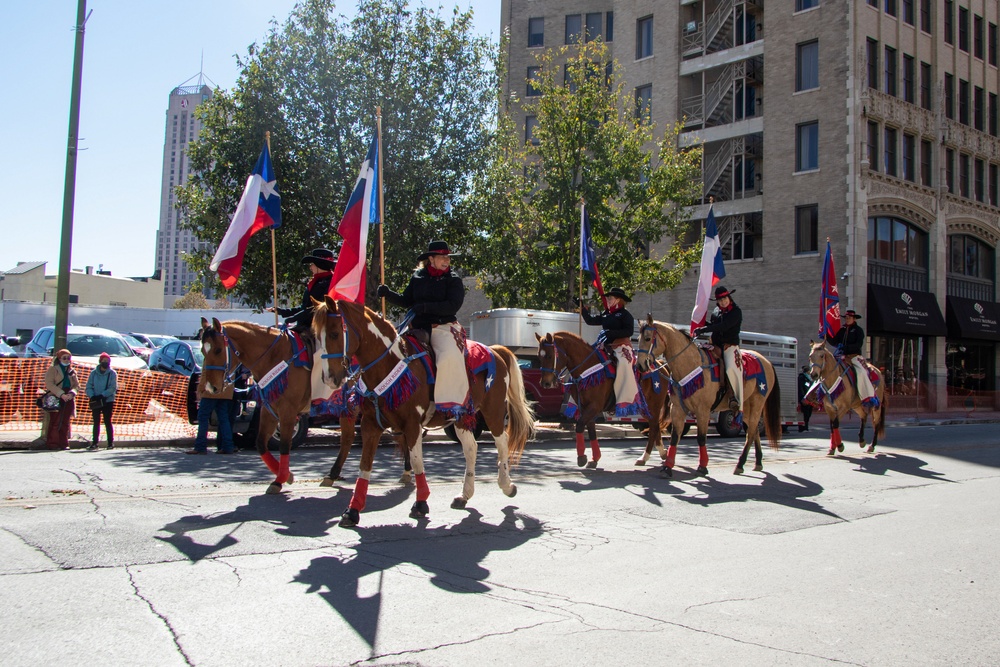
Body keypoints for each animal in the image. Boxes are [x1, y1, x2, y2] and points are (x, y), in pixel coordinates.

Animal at [199, 318, 360, 496]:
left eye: (218, 350)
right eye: (202, 351)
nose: (211, 387)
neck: (274, 357)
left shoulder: (288, 410)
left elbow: (284, 445)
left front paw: (279, 480)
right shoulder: (269, 410)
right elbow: (260, 443)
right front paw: (287, 476)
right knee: (347, 438)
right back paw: (332, 475)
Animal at [314, 300, 536, 528]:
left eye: (334, 333)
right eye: (316, 336)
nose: (329, 378)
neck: (390, 364)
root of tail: (494, 350)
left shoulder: (412, 424)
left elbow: (416, 460)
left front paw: (420, 503)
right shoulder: (371, 424)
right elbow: (365, 465)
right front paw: (352, 510)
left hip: (493, 411)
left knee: (502, 443)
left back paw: (507, 485)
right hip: (461, 416)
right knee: (471, 449)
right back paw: (464, 495)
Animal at [532, 330, 672, 468]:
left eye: (549, 356)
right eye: (539, 356)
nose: (545, 383)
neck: (588, 367)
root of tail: (661, 366)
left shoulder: (594, 406)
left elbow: (580, 425)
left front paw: (581, 457)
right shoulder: (586, 407)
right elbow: (591, 430)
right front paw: (594, 458)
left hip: (654, 405)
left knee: (654, 427)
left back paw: (645, 457)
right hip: (645, 407)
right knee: (655, 426)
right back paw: (662, 454)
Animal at [640, 318, 780, 474]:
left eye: (647, 338)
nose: (640, 364)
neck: (692, 365)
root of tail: (767, 361)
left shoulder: (703, 410)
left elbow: (701, 438)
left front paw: (702, 465)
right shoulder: (677, 409)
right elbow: (675, 437)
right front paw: (667, 466)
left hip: (757, 403)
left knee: (750, 433)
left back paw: (740, 464)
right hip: (747, 407)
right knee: (754, 431)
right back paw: (758, 462)